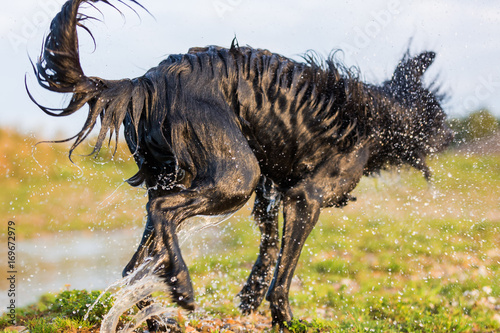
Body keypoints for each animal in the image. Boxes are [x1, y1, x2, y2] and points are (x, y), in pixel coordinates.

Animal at [31, 0, 454, 328]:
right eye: (439, 116)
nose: (451, 136)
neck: (382, 114)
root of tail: (145, 83)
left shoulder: (272, 190)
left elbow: (269, 246)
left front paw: (250, 295)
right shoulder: (306, 197)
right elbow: (286, 266)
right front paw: (284, 317)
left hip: (185, 176)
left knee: (135, 263)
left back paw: (157, 316)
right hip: (235, 177)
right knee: (163, 212)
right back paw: (181, 285)